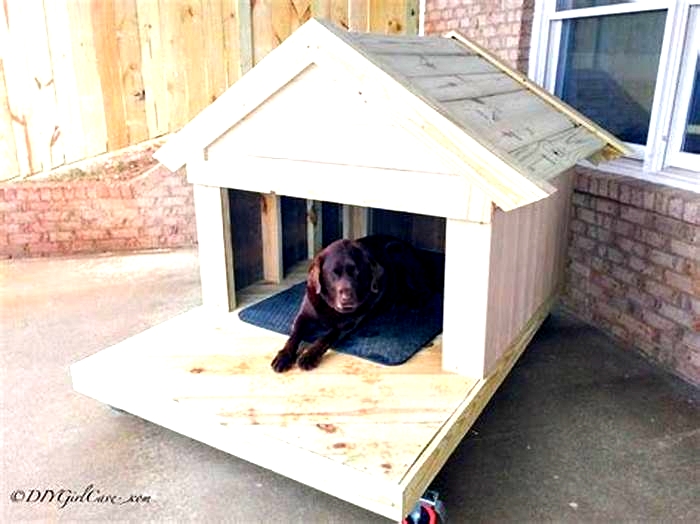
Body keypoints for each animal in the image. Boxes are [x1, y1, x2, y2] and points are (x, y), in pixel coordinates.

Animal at [270, 233, 434, 372]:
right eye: (333, 273)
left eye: (357, 272)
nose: (347, 298)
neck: (329, 306)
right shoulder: (303, 316)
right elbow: (294, 335)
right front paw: (284, 356)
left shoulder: (346, 325)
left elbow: (325, 338)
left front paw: (309, 356)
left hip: (398, 251)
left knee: (425, 290)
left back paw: (413, 301)